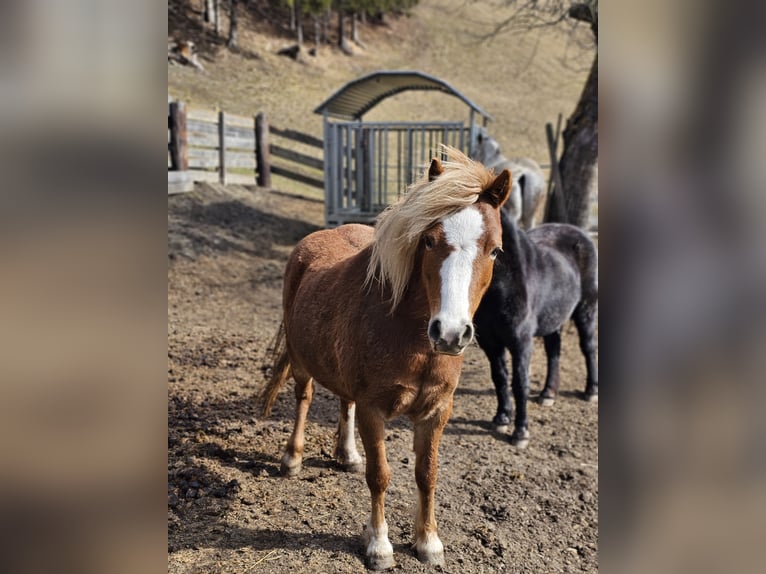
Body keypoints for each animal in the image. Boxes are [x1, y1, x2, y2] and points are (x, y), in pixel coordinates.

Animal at [262, 147, 510, 572]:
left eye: (494, 250)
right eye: (428, 240)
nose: (450, 333)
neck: (413, 339)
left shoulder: (436, 412)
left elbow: (427, 475)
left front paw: (428, 541)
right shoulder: (373, 409)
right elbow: (380, 475)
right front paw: (379, 545)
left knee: (343, 401)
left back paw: (347, 455)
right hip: (300, 360)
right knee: (304, 398)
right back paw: (292, 458)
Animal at [474, 208, 600, 450]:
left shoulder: (521, 342)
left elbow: (520, 382)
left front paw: (521, 432)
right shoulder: (489, 342)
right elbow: (500, 377)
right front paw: (502, 418)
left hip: (586, 309)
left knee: (588, 348)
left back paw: (591, 391)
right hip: (554, 318)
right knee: (554, 352)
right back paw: (548, 393)